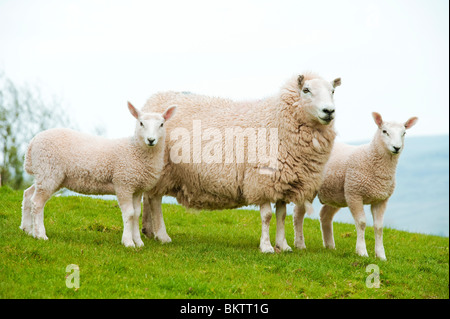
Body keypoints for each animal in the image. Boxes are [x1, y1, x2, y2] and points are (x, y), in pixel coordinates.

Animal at [19, 104, 178, 249]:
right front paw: (128, 242)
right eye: (141, 123)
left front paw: (138, 242)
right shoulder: (123, 184)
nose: (151, 140)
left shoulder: (136, 188)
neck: (135, 150)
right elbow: (129, 214)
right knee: (37, 203)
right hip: (49, 170)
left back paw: (27, 229)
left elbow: (136, 214)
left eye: (161, 124)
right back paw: (40, 234)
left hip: (47, 175)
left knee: (28, 194)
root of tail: (33, 142)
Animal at [139, 72, 340, 252]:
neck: (276, 119)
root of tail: (153, 99)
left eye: (332, 91)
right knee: (155, 200)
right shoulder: (260, 180)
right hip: (163, 168)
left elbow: (281, 215)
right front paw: (266, 246)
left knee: (148, 197)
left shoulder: (282, 181)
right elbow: (267, 216)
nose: (329, 111)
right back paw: (162, 235)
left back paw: (148, 231)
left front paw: (283, 245)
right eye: (306, 90)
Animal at [294, 112, 416, 260]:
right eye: (384, 131)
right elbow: (362, 223)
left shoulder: (381, 200)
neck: (371, 158)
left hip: (336, 194)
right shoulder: (354, 194)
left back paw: (330, 246)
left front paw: (381, 255)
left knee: (325, 215)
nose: (396, 148)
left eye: (404, 133)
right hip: (309, 186)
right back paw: (300, 244)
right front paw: (362, 251)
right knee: (298, 214)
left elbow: (379, 227)